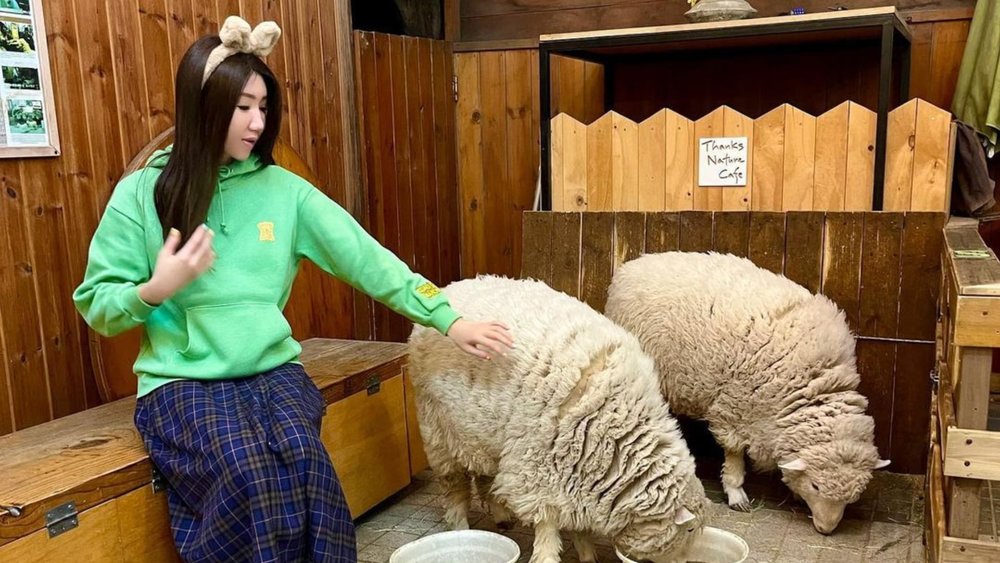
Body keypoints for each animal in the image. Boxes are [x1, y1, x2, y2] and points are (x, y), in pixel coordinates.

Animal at [407, 275, 709, 563]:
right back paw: (460, 527)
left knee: (484, 474)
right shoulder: (537, 469)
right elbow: (547, 525)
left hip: (482, 432)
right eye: (690, 530)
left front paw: (586, 554)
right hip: (438, 431)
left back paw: (500, 515)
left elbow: (577, 523)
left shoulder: (575, 470)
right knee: (454, 487)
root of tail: (454, 286)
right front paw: (549, 555)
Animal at [604, 252, 890, 535]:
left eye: (852, 496)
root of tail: (633, 264)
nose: (826, 529)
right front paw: (735, 492)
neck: (814, 381)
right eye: (816, 486)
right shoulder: (734, 405)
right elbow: (734, 452)